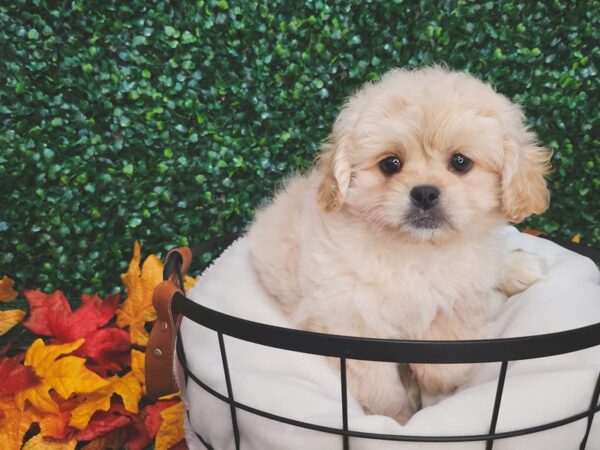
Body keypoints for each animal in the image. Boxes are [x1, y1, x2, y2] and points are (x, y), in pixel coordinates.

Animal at [246, 66, 552, 422]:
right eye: (390, 164)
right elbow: (383, 390)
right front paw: (401, 418)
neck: (414, 250)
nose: (424, 193)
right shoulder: (353, 326)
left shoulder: (458, 295)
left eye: (460, 162)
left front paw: (436, 384)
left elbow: (446, 360)